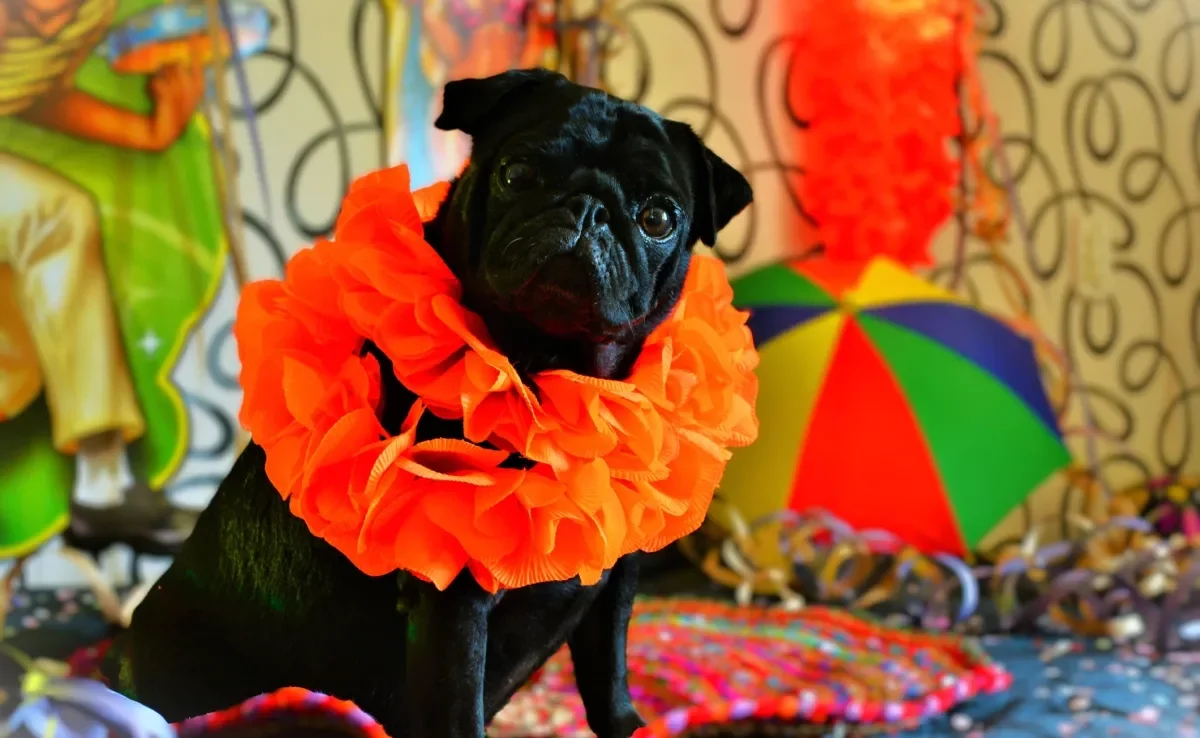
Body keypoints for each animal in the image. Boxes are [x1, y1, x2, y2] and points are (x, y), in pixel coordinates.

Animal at [108, 69, 753, 738]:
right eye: (517, 173)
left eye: (658, 218)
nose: (588, 209)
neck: (548, 371)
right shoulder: (454, 605)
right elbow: (457, 708)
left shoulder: (614, 582)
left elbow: (608, 676)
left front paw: (631, 725)